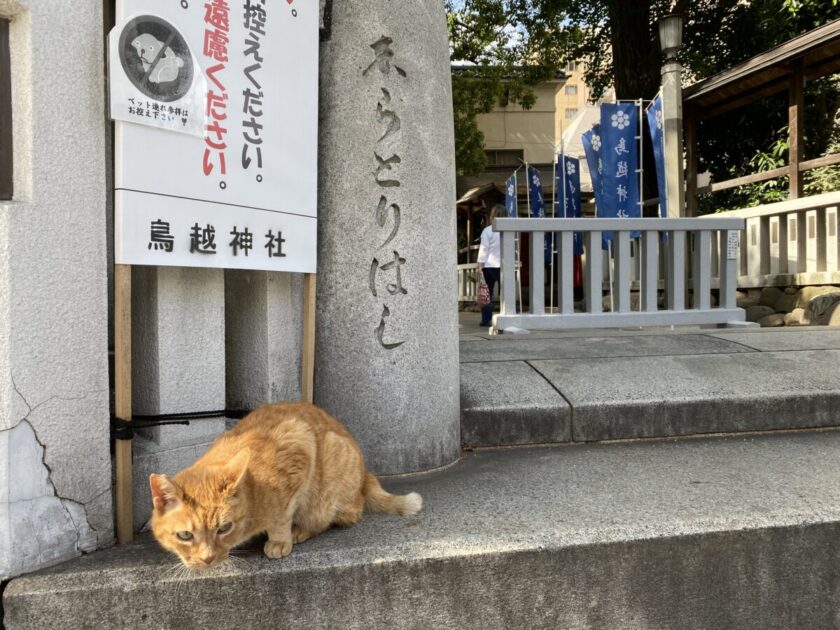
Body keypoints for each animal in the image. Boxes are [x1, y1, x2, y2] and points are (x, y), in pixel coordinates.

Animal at [148, 402, 424, 572]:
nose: (207, 558)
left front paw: (280, 540)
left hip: (332, 482)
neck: (253, 493)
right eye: (185, 535)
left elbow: (281, 517)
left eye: (224, 528)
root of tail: (365, 473)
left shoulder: (298, 447)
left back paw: (301, 530)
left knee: (338, 516)